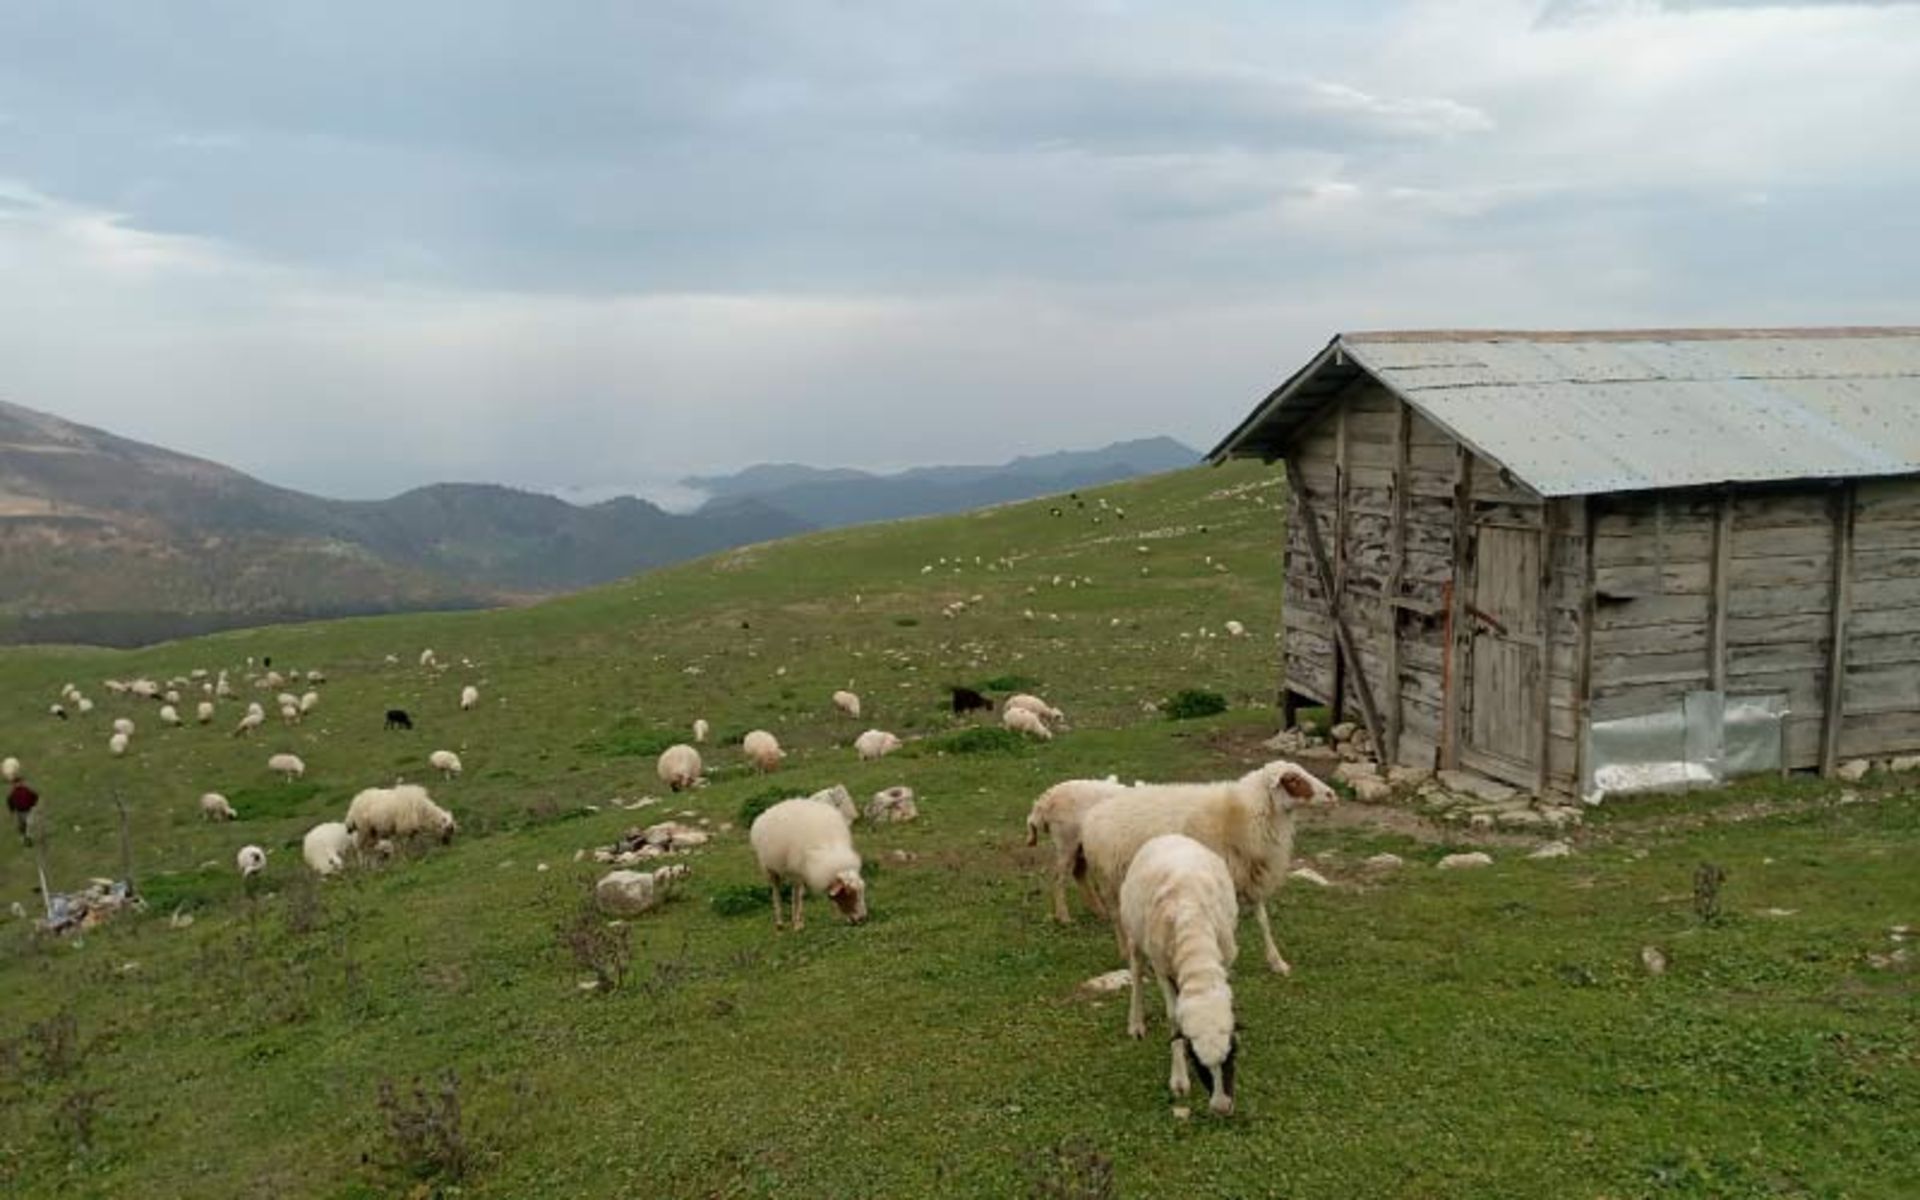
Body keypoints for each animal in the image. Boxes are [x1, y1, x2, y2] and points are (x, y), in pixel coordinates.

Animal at [748, 798, 871, 933]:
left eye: (862, 891)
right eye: (849, 893)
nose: (862, 919)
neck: (829, 847)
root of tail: (769, 810)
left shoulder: (802, 872)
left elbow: (799, 896)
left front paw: (798, 922)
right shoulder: (797, 872)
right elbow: (798, 896)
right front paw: (798, 925)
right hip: (770, 868)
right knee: (776, 892)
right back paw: (780, 923)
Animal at [1029, 775, 1128, 925]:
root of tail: (1044, 801)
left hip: (1081, 846)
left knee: (1078, 873)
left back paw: (1100, 912)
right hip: (1066, 840)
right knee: (1059, 878)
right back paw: (1064, 917)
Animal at [1082, 756, 1336, 975]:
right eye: (1293, 779)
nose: (1332, 794)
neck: (1241, 813)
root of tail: (1097, 810)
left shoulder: (1249, 876)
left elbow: (1264, 922)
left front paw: (1277, 962)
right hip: (1111, 880)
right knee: (1118, 918)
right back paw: (1126, 953)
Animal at [1121, 833, 1251, 1113]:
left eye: (1232, 1053)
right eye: (1195, 1058)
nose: (1221, 1107)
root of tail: (1168, 835)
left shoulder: (1224, 962)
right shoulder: (1161, 969)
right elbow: (1174, 1018)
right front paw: (1179, 1080)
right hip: (1133, 933)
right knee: (1136, 973)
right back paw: (1136, 1023)